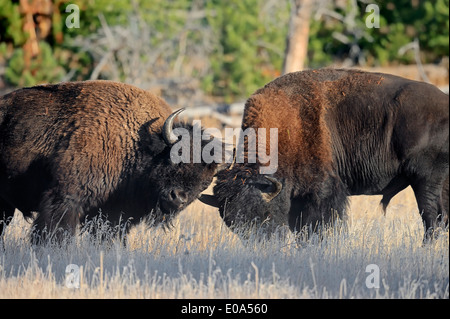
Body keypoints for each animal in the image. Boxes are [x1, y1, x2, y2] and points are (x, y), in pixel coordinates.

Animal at [0, 80, 218, 245]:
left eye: (205, 183)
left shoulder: (114, 213)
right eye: (176, 157)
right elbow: (56, 231)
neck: (138, 144)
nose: (178, 198)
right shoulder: (65, 198)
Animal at [201, 68, 450, 242]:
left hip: (426, 180)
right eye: (232, 223)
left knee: (432, 219)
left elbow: (317, 227)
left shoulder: (322, 192)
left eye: (264, 214)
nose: (262, 244)